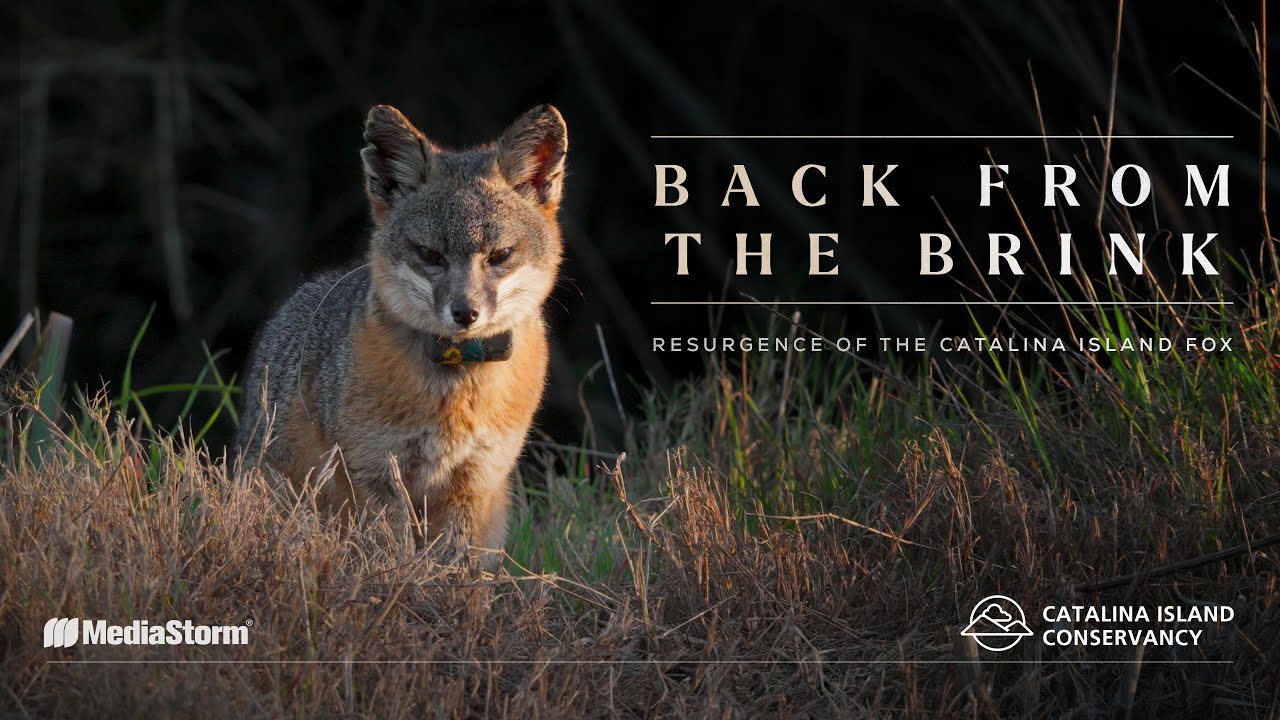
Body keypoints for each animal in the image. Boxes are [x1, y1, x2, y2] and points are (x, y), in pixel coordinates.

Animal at [235, 103, 568, 560]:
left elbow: (456, 564)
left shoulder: (476, 481)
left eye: (500, 255)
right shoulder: (376, 469)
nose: (465, 313)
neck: (456, 388)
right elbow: (391, 555)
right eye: (430, 255)